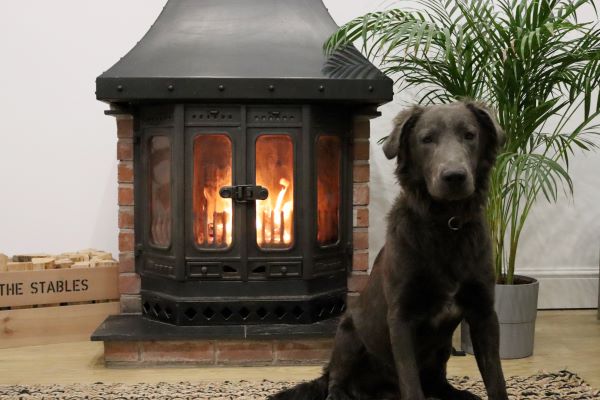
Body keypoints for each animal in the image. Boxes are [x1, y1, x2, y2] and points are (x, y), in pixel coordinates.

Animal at [270, 101, 508, 400]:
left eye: (470, 135)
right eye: (426, 139)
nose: (454, 176)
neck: (446, 224)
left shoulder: (484, 312)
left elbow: (496, 380)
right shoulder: (401, 318)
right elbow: (411, 385)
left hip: (440, 350)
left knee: (437, 382)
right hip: (349, 333)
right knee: (335, 381)